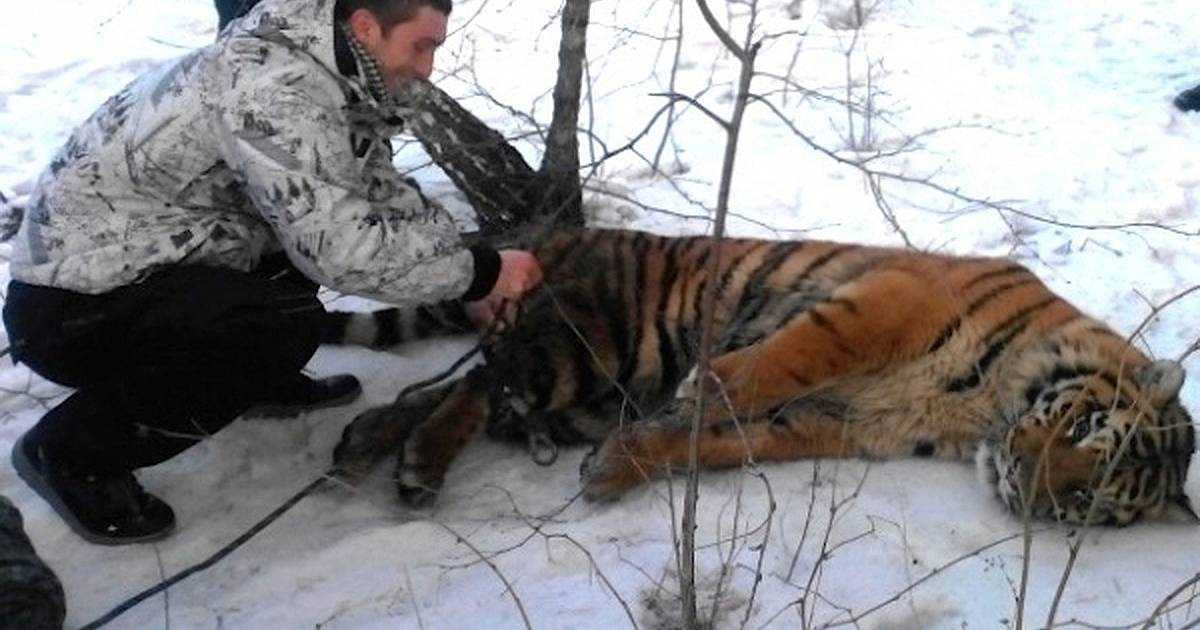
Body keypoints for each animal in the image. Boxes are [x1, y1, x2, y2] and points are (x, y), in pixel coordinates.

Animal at [324, 226, 1195, 525]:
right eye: (1086, 426)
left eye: (1088, 501)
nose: (1021, 479)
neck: (982, 413)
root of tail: (560, 233)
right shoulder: (893, 298)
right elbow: (791, 356)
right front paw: (709, 386)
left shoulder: (832, 423)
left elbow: (709, 444)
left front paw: (617, 468)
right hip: (589, 345)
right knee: (480, 384)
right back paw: (414, 463)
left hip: (595, 390)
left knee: (459, 388)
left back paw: (369, 444)